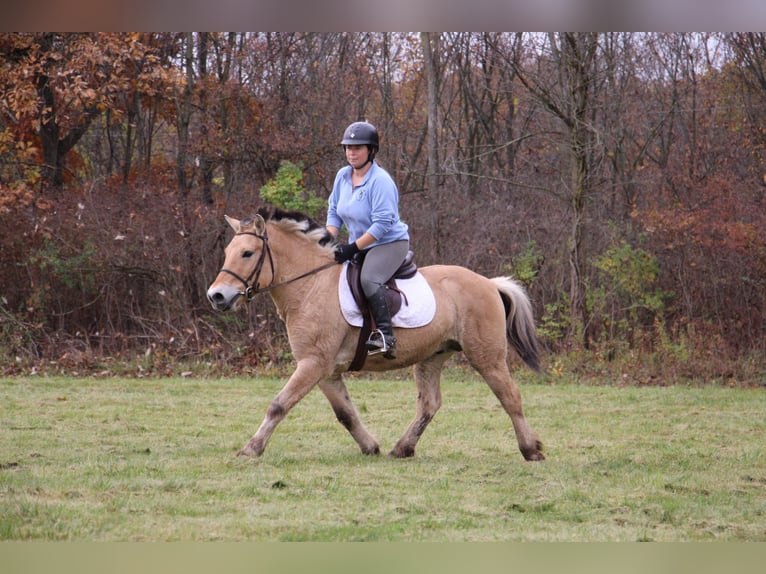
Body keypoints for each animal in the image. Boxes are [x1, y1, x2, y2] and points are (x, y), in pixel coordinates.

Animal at [208, 207, 544, 464]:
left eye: (247, 253)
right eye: (227, 252)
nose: (217, 297)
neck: (311, 286)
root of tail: (488, 283)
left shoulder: (313, 364)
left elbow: (279, 404)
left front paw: (251, 449)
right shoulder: (324, 370)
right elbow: (345, 413)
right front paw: (370, 446)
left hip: (487, 357)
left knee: (510, 396)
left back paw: (531, 450)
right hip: (432, 356)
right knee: (429, 404)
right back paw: (402, 448)